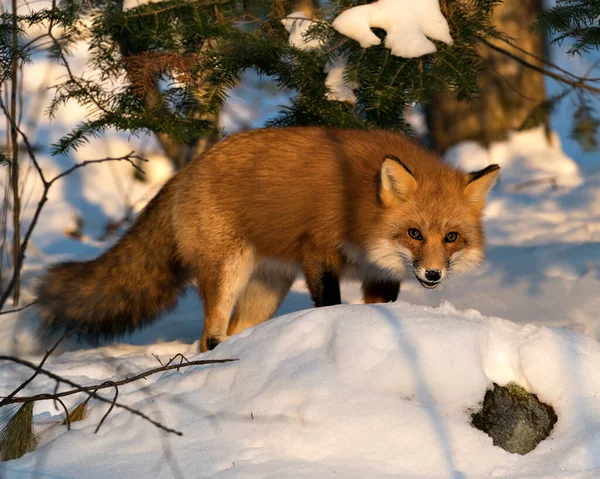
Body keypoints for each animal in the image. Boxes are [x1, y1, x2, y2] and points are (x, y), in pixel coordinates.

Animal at [35, 127, 500, 352]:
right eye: (414, 233)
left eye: (452, 237)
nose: (433, 274)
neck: (361, 206)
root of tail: (184, 172)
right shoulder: (318, 250)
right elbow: (330, 303)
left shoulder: (379, 275)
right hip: (228, 271)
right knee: (211, 335)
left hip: (266, 290)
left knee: (228, 334)